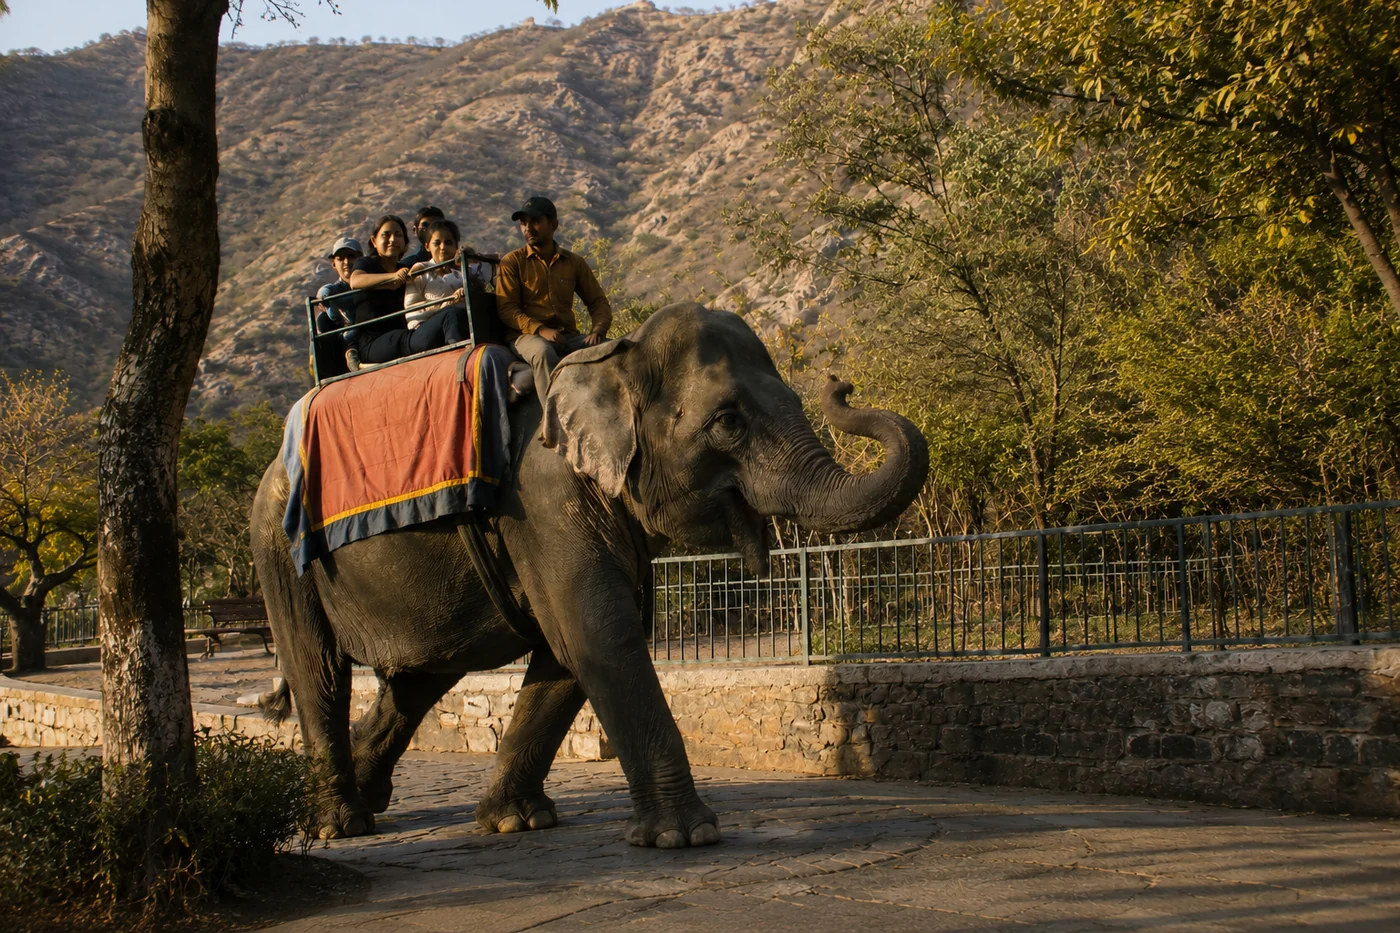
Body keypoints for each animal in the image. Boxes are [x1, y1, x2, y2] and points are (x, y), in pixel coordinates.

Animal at [250, 302, 928, 846]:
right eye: (728, 422)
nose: (840, 384)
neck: (615, 363)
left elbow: (567, 650)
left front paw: (516, 823)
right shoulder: (543, 501)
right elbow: (597, 635)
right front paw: (686, 837)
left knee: (417, 680)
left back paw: (370, 802)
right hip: (279, 550)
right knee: (320, 672)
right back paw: (337, 826)